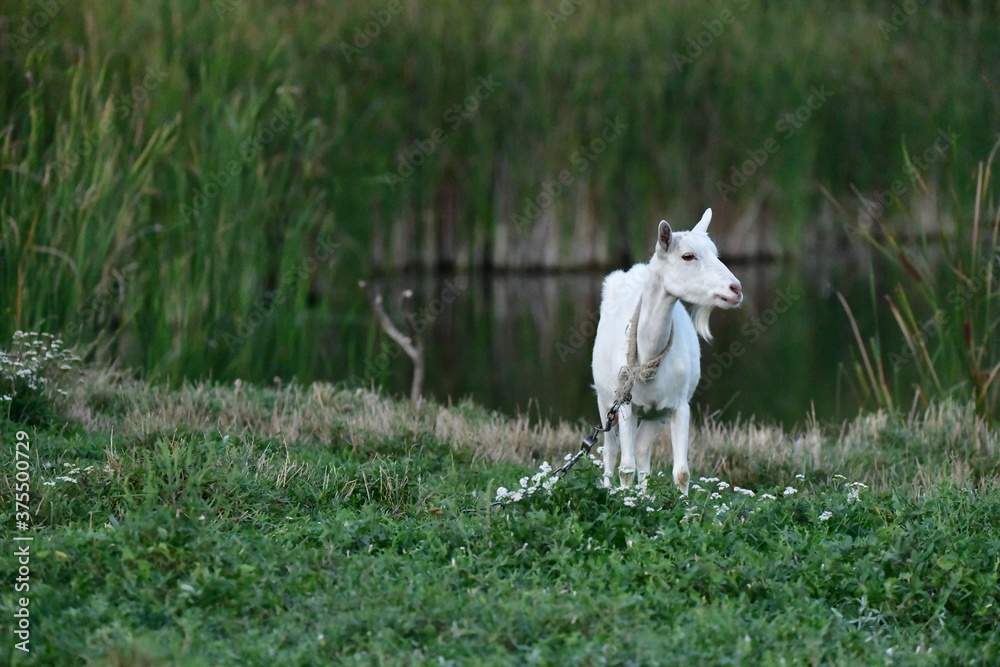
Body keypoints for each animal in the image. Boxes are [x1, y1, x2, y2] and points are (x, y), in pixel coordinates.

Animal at [591, 209, 743, 494]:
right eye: (688, 256)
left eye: (715, 253)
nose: (736, 289)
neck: (647, 355)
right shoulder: (625, 403)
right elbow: (625, 467)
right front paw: (624, 500)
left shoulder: (678, 404)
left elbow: (681, 472)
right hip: (605, 399)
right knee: (610, 450)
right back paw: (610, 489)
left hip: (655, 414)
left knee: (642, 448)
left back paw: (645, 496)